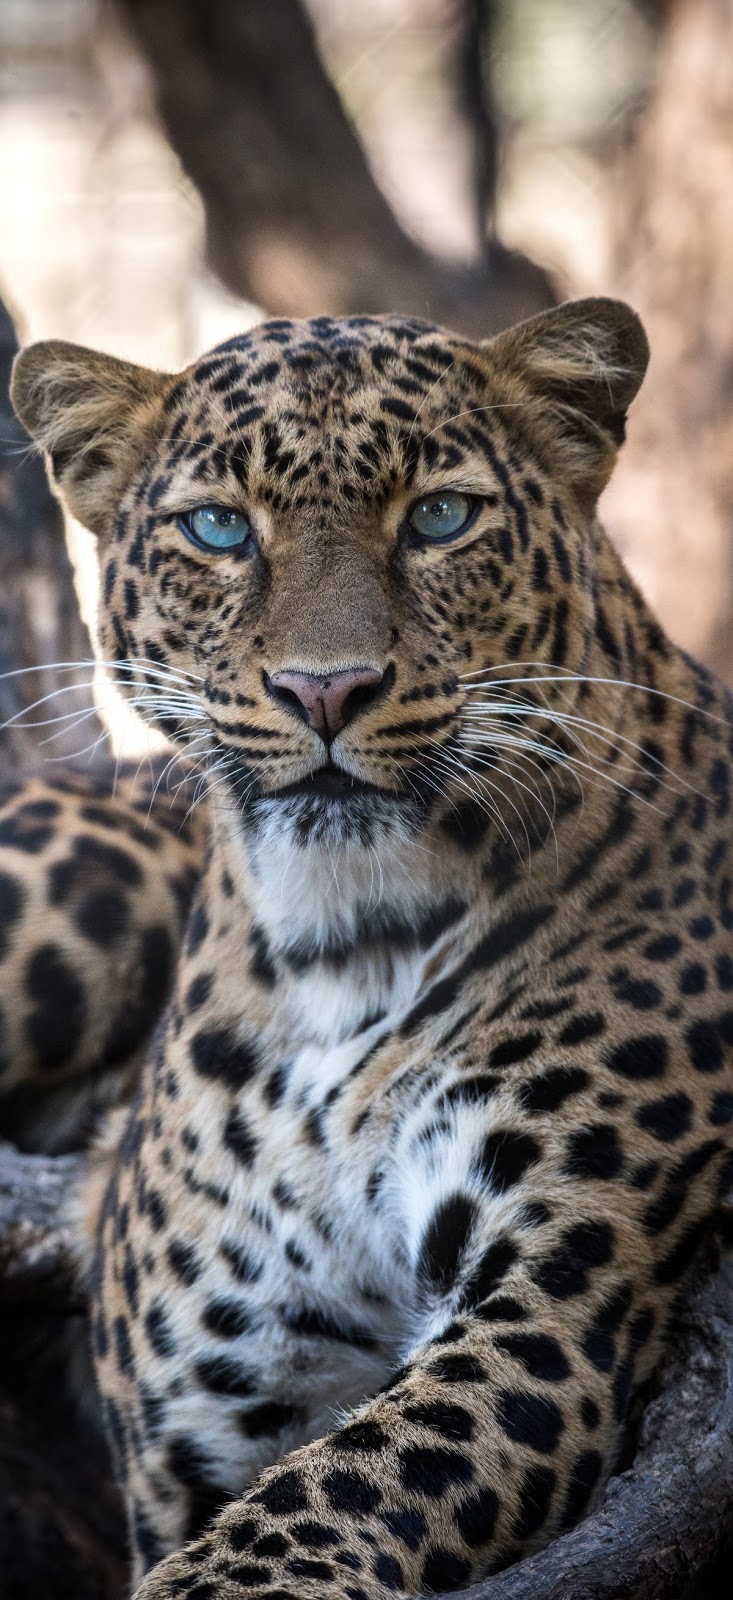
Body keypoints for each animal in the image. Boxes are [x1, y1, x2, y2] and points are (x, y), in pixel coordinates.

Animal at [11, 302, 733, 1600]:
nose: (325, 689)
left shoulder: (554, 1302)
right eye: (219, 527)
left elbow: (320, 1497)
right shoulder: (214, 1406)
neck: (341, 946)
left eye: (439, 516)